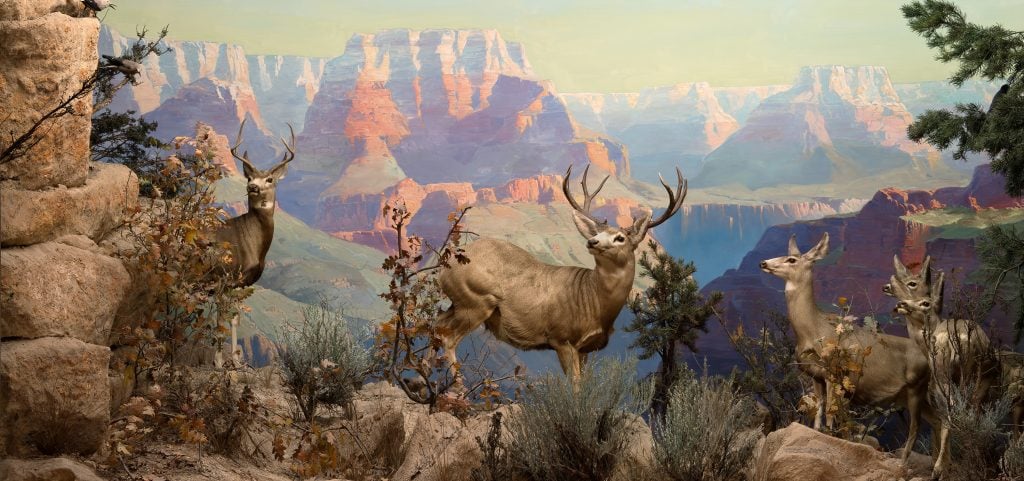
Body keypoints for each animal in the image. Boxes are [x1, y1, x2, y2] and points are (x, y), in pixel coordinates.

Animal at [438, 165, 688, 378]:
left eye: (620, 238)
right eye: (596, 232)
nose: (592, 241)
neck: (595, 301)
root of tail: (445, 266)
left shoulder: (586, 348)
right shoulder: (562, 338)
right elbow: (574, 387)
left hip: (459, 303)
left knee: (436, 325)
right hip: (476, 302)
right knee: (447, 337)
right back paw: (458, 389)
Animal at [761, 233, 937, 462]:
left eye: (791, 259)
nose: (763, 262)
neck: (812, 330)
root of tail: (928, 356)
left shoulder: (834, 372)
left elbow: (830, 414)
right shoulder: (816, 376)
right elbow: (818, 413)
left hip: (917, 387)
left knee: (916, 428)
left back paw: (903, 462)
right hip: (912, 394)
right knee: (941, 421)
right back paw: (937, 465)